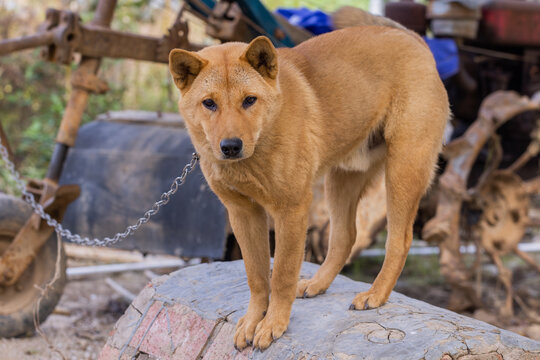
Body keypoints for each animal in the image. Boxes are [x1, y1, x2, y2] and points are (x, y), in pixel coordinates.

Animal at [169, 12, 448, 350]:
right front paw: (253, 320)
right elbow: (256, 276)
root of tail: (416, 41)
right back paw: (317, 283)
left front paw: (273, 323)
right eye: (209, 104)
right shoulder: (243, 213)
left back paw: (376, 294)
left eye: (249, 100)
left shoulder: (291, 211)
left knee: (399, 240)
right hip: (342, 179)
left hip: (403, 171)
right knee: (345, 237)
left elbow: (281, 274)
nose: (231, 146)